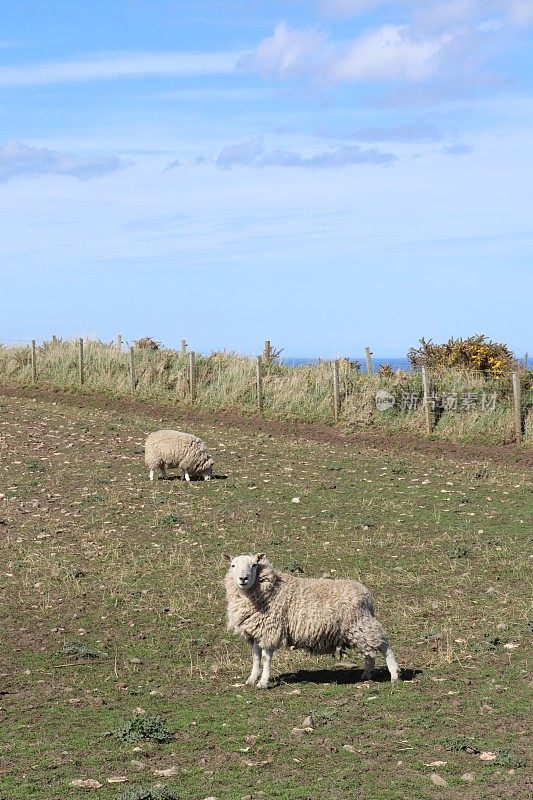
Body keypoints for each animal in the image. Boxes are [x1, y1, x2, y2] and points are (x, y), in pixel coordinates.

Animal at [222, 552, 396, 692]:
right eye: (232, 565)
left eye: (254, 565)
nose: (243, 579)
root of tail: (367, 595)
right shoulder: (256, 632)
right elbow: (256, 657)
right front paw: (251, 679)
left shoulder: (270, 631)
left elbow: (265, 658)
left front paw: (263, 683)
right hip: (357, 628)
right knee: (369, 651)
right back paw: (367, 674)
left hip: (360, 623)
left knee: (383, 645)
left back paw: (394, 674)